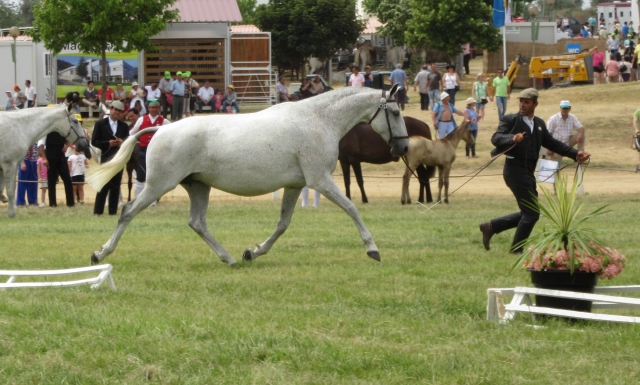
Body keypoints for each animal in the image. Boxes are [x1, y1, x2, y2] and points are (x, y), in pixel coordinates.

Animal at [87, 84, 410, 266]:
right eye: (395, 113)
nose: (404, 146)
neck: (319, 120)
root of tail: (162, 127)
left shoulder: (295, 186)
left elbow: (282, 225)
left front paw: (252, 252)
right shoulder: (320, 180)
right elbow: (352, 208)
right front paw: (372, 249)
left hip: (198, 187)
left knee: (197, 223)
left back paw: (229, 258)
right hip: (158, 185)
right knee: (128, 211)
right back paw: (99, 254)